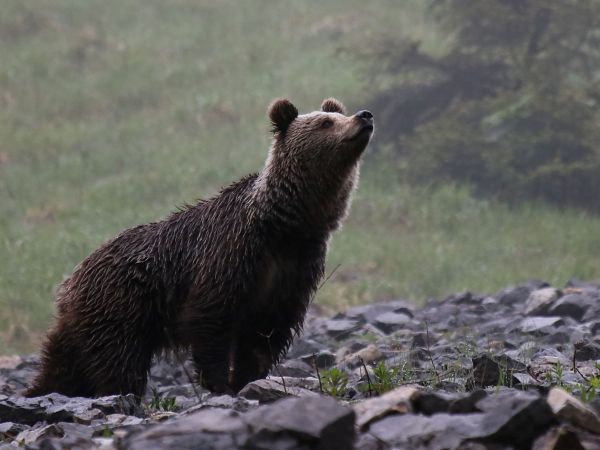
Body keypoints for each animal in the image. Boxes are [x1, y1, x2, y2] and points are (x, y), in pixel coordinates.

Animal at [27, 98, 376, 398]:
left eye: (336, 113)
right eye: (325, 122)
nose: (364, 116)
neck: (284, 225)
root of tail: (70, 282)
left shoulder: (294, 270)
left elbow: (266, 334)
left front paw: (249, 378)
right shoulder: (229, 255)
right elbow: (212, 321)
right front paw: (221, 383)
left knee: (64, 365)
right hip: (121, 307)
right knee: (119, 361)